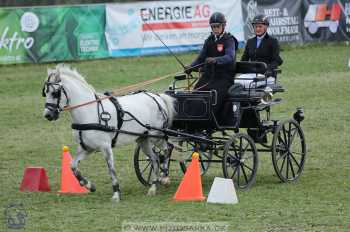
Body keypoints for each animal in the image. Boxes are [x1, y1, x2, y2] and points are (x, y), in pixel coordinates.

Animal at [42, 64, 176, 202]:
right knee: (155, 158)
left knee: (166, 150)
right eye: (45, 93)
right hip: (143, 139)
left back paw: (164, 177)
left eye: (55, 93)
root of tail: (157, 97)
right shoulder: (87, 147)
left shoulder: (105, 146)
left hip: (157, 136)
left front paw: (116, 193)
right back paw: (153, 187)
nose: (48, 115)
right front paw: (89, 185)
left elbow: (111, 169)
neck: (90, 112)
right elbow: (73, 165)